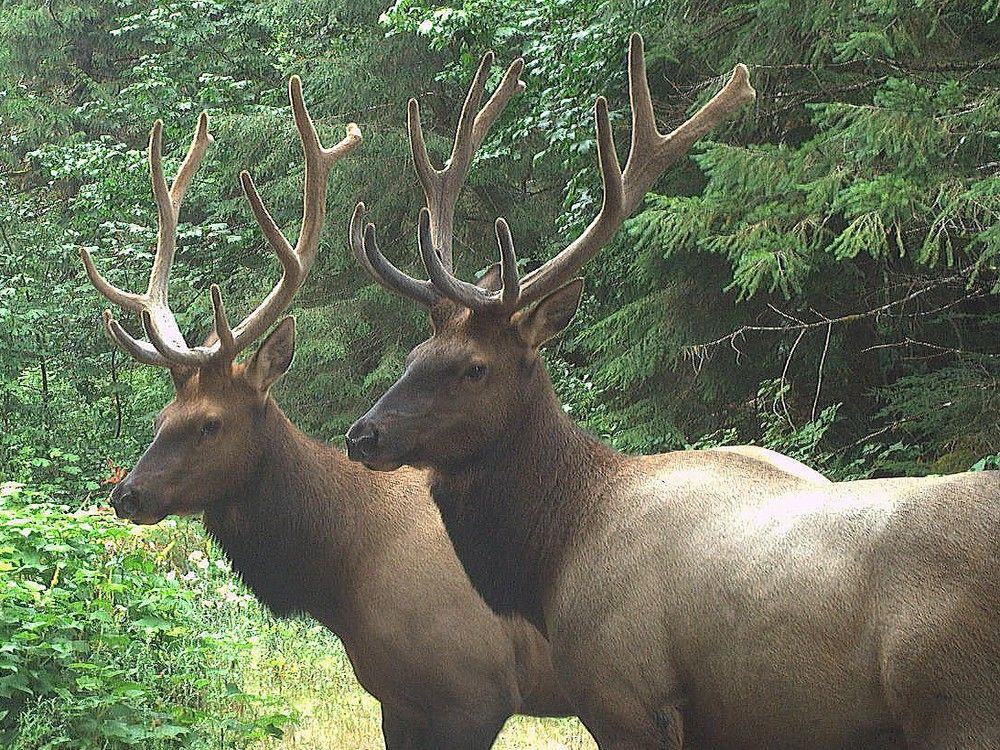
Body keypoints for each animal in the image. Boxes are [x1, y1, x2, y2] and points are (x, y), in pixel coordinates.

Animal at [80, 75, 580, 750]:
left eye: (210, 422)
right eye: (160, 419)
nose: (126, 495)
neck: (344, 572)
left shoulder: (473, 692)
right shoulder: (398, 700)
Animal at [348, 35, 1000, 750]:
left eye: (473, 367)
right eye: (415, 356)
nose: (363, 434)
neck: (557, 552)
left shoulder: (623, 696)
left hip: (954, 700)